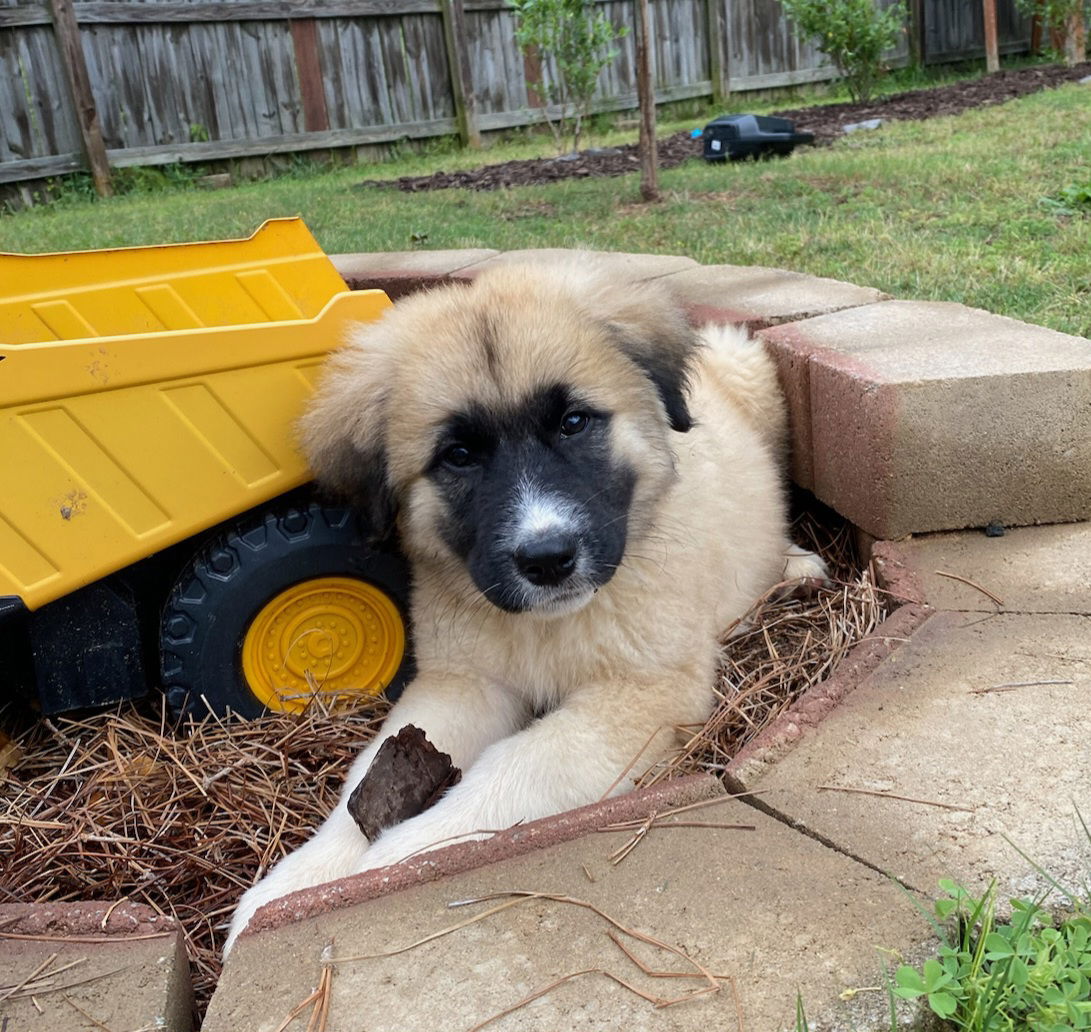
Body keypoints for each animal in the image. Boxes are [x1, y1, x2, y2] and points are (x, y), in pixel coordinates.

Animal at [223, 259, 824, 951]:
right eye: (458, 456)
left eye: (573, 423)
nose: (547, 559)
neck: (547, 626)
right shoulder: (463, 682)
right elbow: (369, 773)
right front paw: (298, 883)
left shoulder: (642, 691)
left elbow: (518, 769)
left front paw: (398, 858)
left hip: (748, 372)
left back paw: (795, 568)